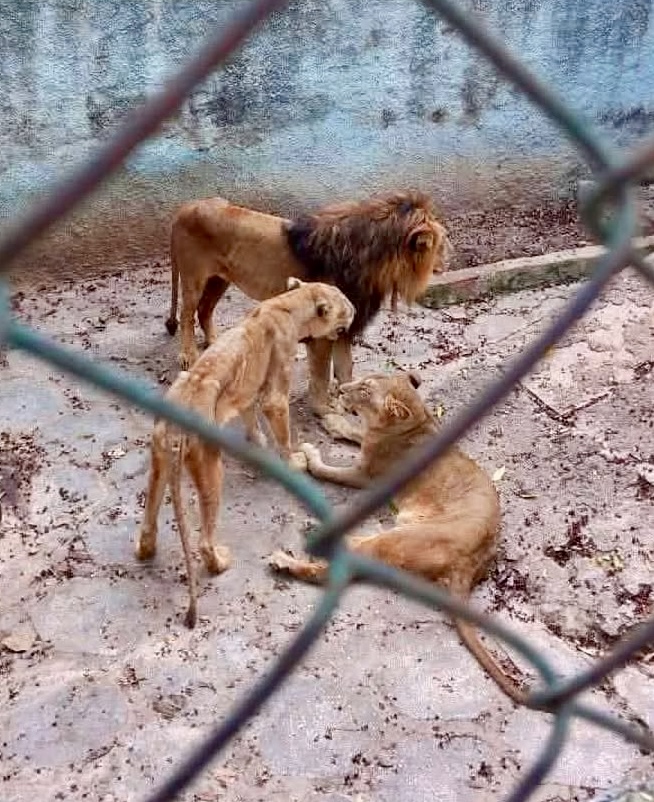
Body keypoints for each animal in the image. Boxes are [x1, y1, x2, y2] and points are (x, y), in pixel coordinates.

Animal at [136, 277, 355, 628]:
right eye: (345, 305)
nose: (356, 310)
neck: (289, 303)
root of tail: (176, 429)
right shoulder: (275, 393)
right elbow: (282, 430)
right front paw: (294, 461)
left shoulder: (250, 390)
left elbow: (252, 417)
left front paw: (257, 443)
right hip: (210, 466)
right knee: (204, 540)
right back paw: (220, 563)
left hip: (159, 460)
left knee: (148, 522)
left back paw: (146, 551)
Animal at [166, 191, 450, 419]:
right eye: (440, 245)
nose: (449, 260)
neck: (374, 265)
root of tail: (185, 207)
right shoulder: (323, 333)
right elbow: (322, 375)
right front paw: (324, 409)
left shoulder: (345, 329)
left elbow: (346, 368)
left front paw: (354, 398)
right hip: (194, 278)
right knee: (187, 313)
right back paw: (188, 356)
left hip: (219, 280)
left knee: (204, 310)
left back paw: (215, 343)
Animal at [269, 370, 526, 703]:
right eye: (361, 381)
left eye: (365, 390)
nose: (341, 388)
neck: (414, 421)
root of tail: (471, 563)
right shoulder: (369, 444)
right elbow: (355, 431)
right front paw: (335, 422)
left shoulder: (366, 476)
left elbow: (327, 470)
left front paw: (311, 456)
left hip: (402, 537)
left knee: (341, 567)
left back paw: (292, 556)